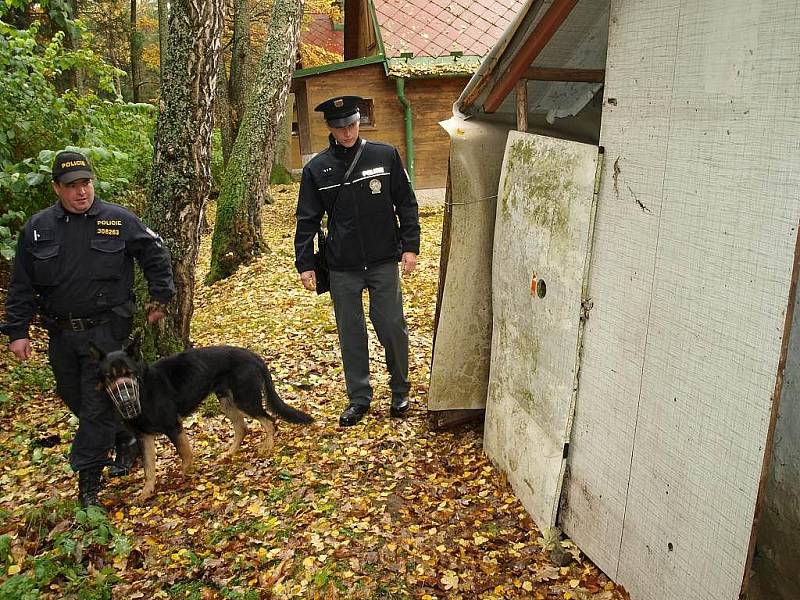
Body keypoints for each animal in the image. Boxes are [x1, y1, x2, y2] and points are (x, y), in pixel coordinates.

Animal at [88, 338, 312, 502]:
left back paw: (268, 446)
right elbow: (149, 469)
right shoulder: (144, 437)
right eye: (109, 376)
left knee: (269, 420)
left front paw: (185, 478)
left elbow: (185, 456)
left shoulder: (174, 427)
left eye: (129, 373)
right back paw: (230, 453)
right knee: (242, 427)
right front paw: (146, 492)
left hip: (245, 400)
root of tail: (253, 355)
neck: (143, 390)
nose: (125, 400)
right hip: (227, 402)